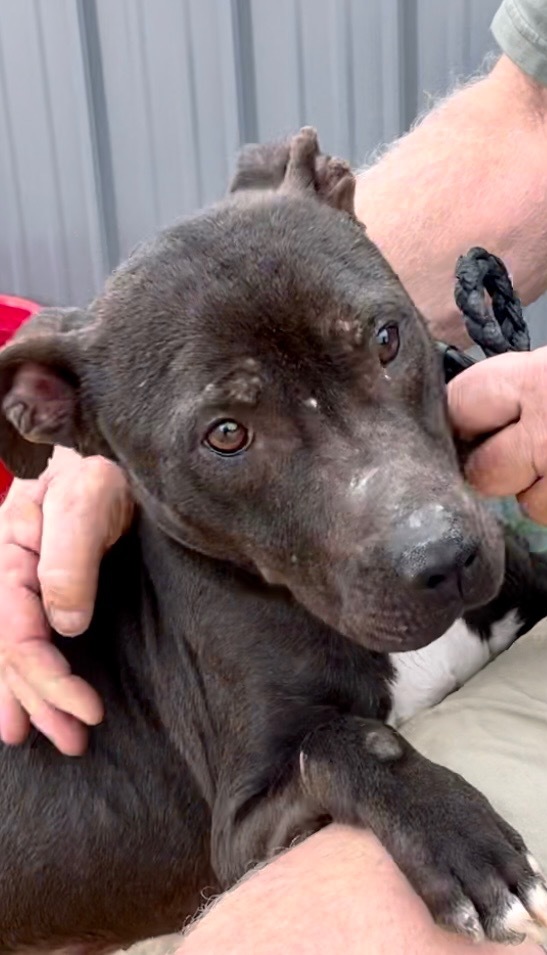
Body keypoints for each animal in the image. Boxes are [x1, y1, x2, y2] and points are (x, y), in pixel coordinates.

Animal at [1, 129, 547, 955]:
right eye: (226, 433)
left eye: (386, 338)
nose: (444, 559)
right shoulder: (241, 836)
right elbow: (347, 740)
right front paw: (463, 841)